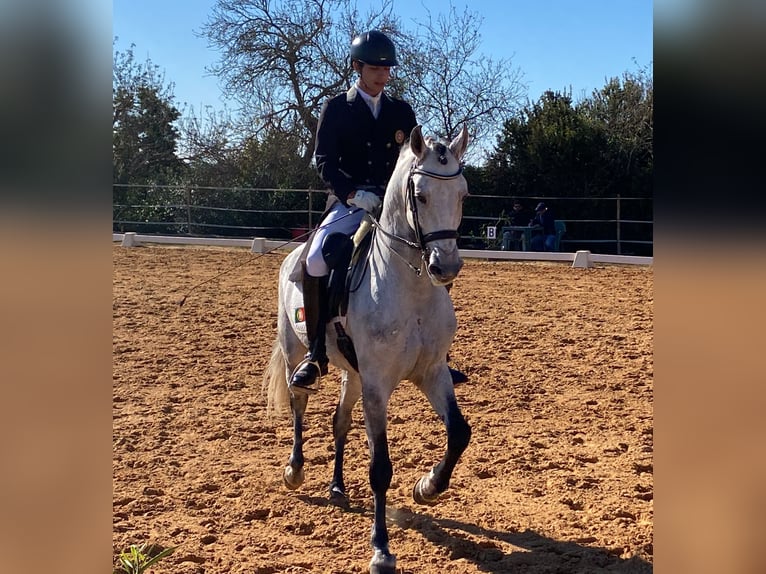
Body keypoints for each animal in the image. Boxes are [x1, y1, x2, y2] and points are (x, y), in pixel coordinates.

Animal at [266, 126, 474, 574]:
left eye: (463, 194)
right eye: (421, 196)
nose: (445, 267)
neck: (410, 289)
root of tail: (294, 253)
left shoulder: (432, 373)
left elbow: (459, 433)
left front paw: (428, 486)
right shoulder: (378, 386)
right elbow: (380, 466)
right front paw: (381, 548)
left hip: (353, 374)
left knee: (338, 422)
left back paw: (338, 487)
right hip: (296, 351)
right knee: (299, 405)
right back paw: (294, 470)